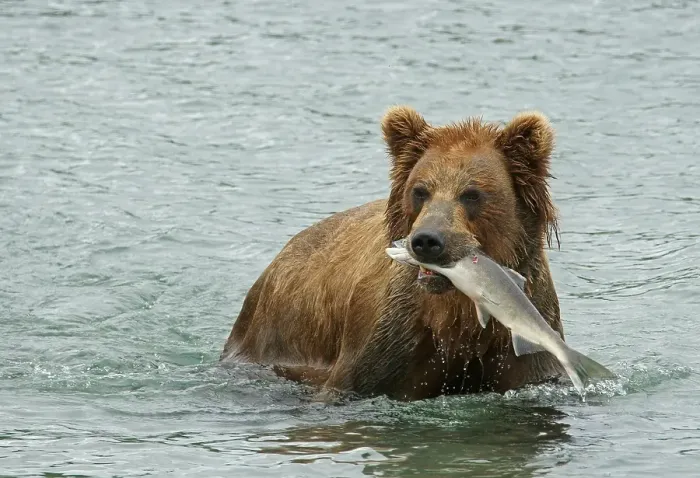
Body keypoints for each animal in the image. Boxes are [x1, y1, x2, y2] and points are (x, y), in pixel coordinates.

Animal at [220, 105, 565, 401]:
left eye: (472, 194)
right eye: (420, 191)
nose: (427, 240)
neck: (456, 313)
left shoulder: (523, 341)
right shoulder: (388, 341)